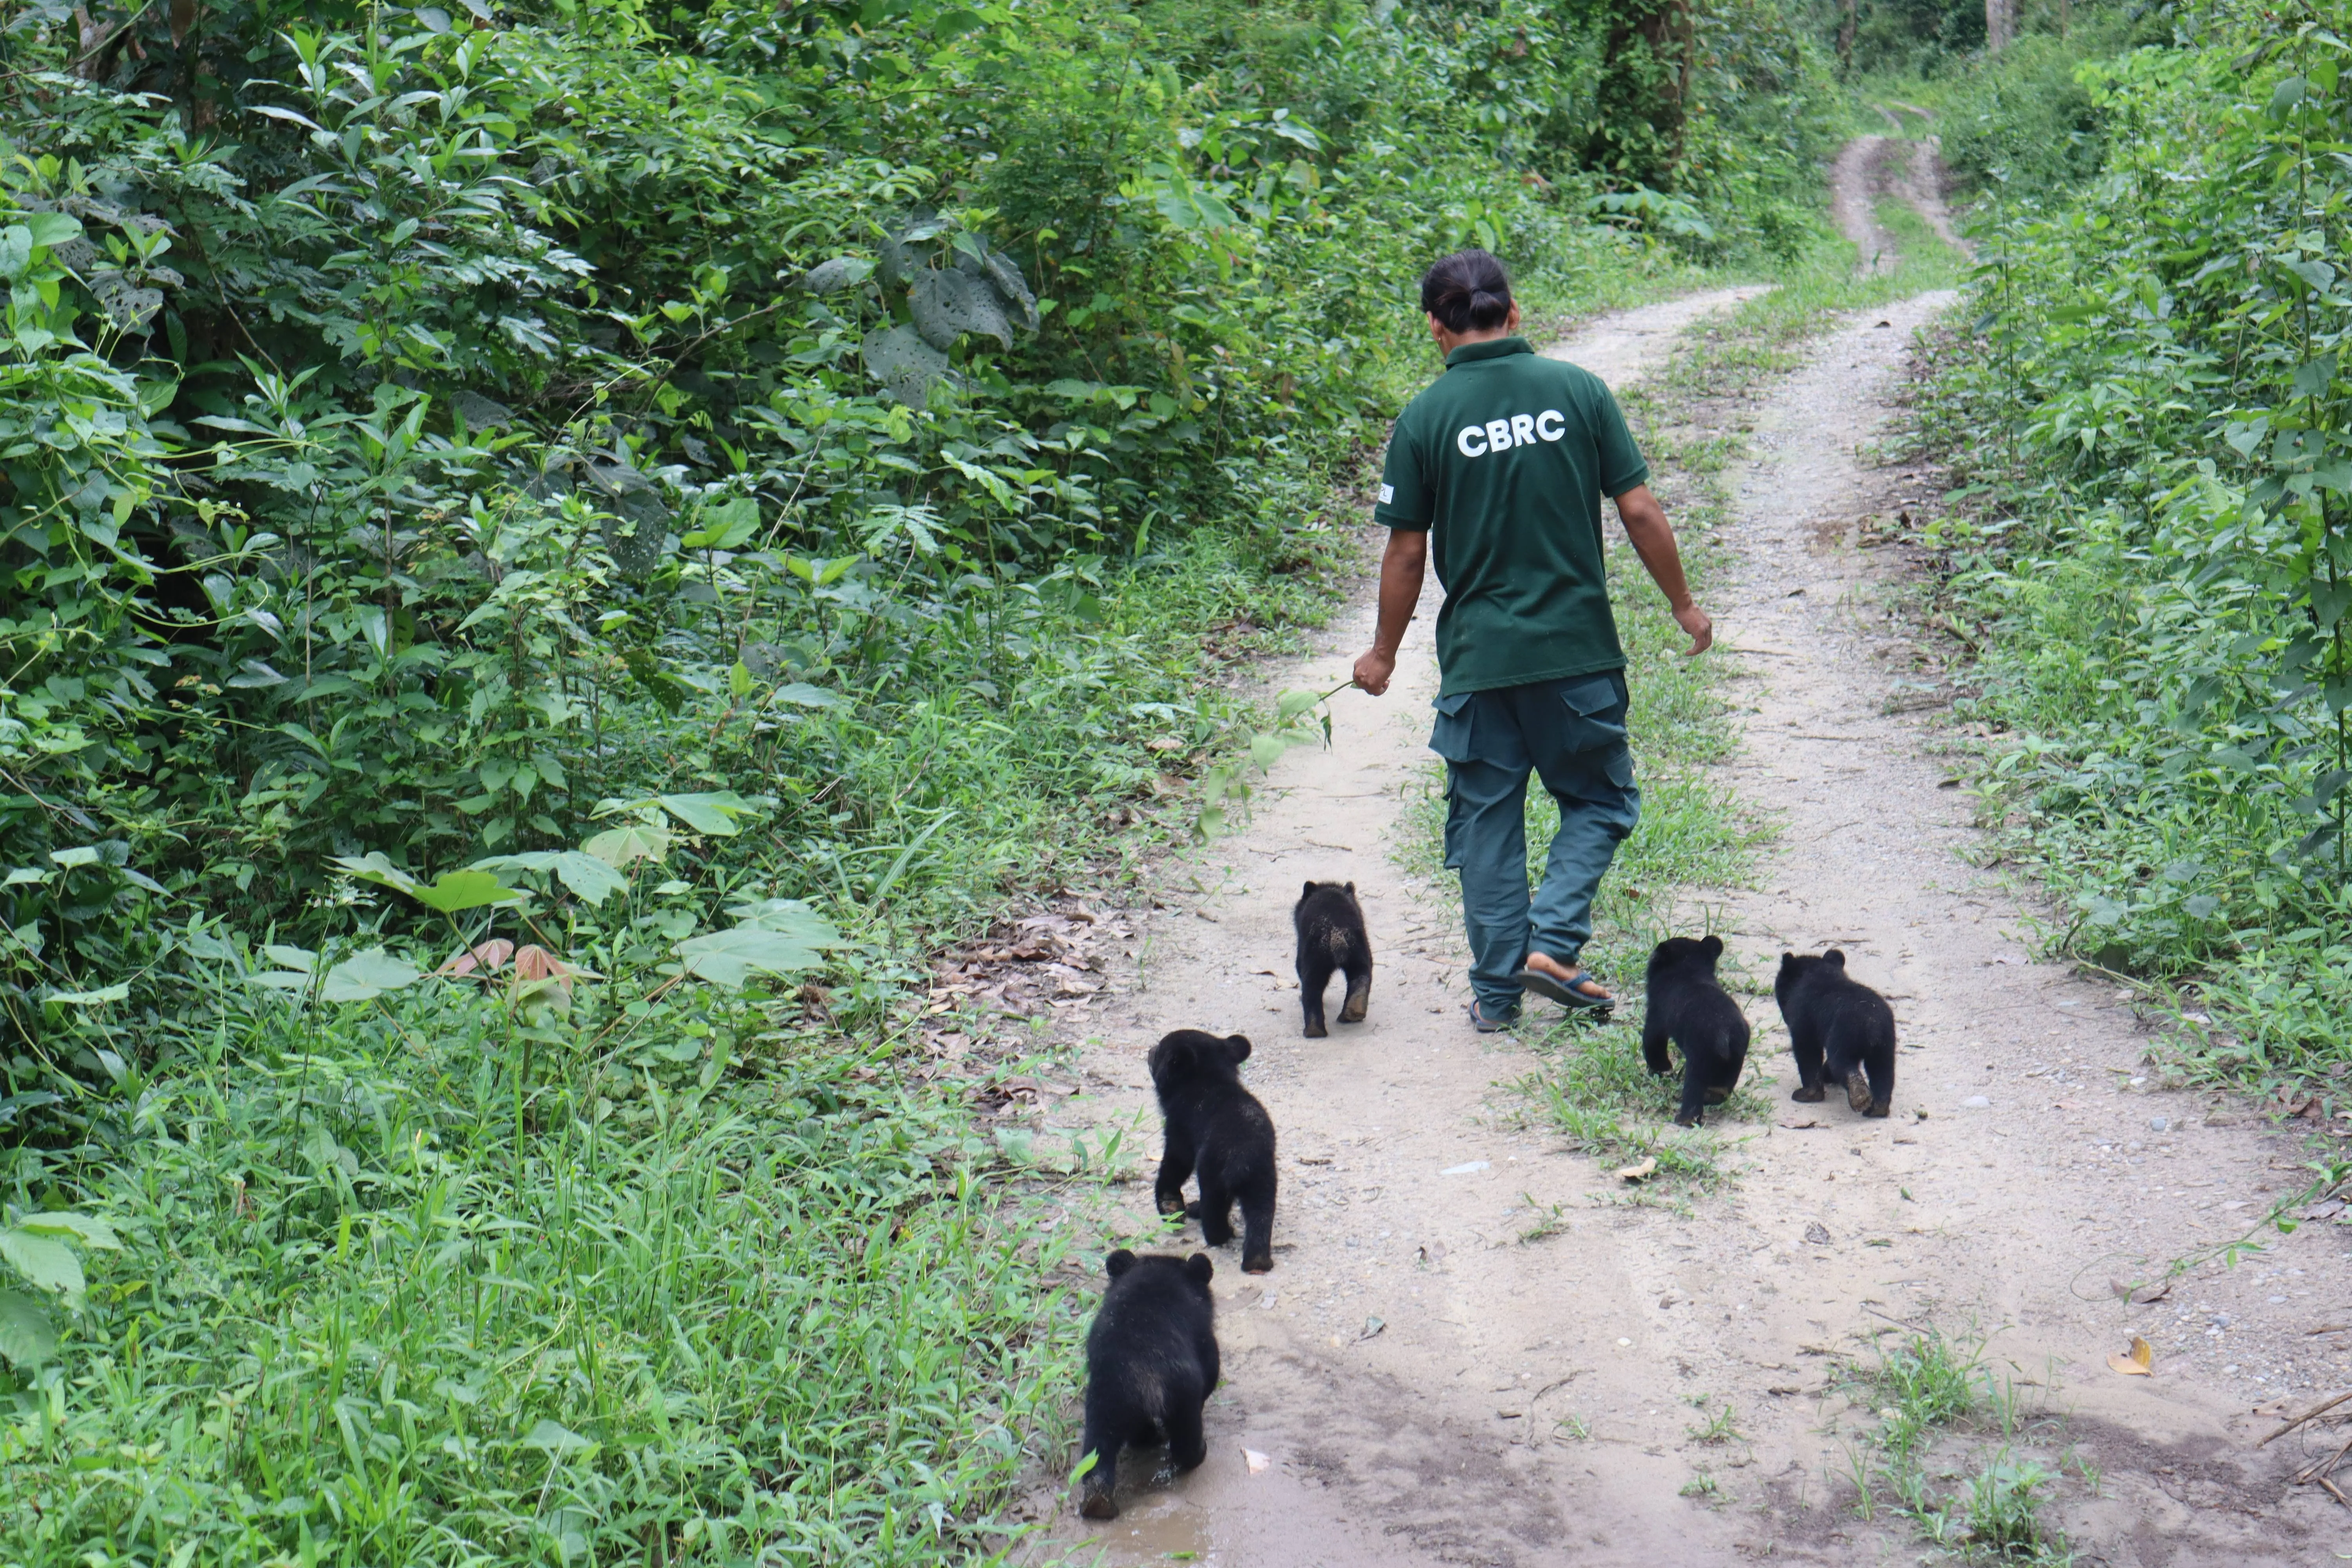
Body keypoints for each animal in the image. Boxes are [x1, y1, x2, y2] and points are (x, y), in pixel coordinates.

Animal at [1077, 1249, 1220, 1520]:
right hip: (1182, 1393)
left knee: (1099, 1443)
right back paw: (1198, 1452)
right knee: (1186, 1435)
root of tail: (1142, 1377)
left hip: (1106, 1397)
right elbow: (1212, 1367)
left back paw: (1098, 1500)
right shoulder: (1202, 1334)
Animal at [1148, 1029, 1278, 1274]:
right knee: (1261, 1212)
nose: (1149, 1051)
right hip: (1263, 1176)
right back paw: (1258, 1262)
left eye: (1159, 1050)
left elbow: (1176, 1161)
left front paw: (1170, 1205)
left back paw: (1215, 1230)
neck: (1210, 1077)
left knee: (1213, 1206)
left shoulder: (1180, 1124)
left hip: (1213, 1169)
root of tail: (1245, 1154)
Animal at [1293, 880, 1373, 1038]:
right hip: (1359, 952)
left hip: (1315, 960)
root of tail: (1337, 932)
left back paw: (1314, 1031)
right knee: (1361, 976)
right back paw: (1352, 1014)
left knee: (1312, 989)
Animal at [1641, 935, 1751, 1127]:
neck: (1689, 967)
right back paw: (1713, 1097)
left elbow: (1653, 1039)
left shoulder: (1658, 1009)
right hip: (1737, 1054)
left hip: (1701, 1054)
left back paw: (1684, 1119)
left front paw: (1661, 1069)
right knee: (1724, 1084)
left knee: (1694, 1086)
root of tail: (1725, 1035)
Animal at [1775, 949, 1898, 1118]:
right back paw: (1878, 1108)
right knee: (1883, 1072)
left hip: (1845, 1035)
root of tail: (1872, 1024)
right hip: (1885, 1045)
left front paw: (1808, 1093)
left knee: (1841, 1064)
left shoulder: (1804, 1020)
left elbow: (1807, 1053)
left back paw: (1860, 1096)